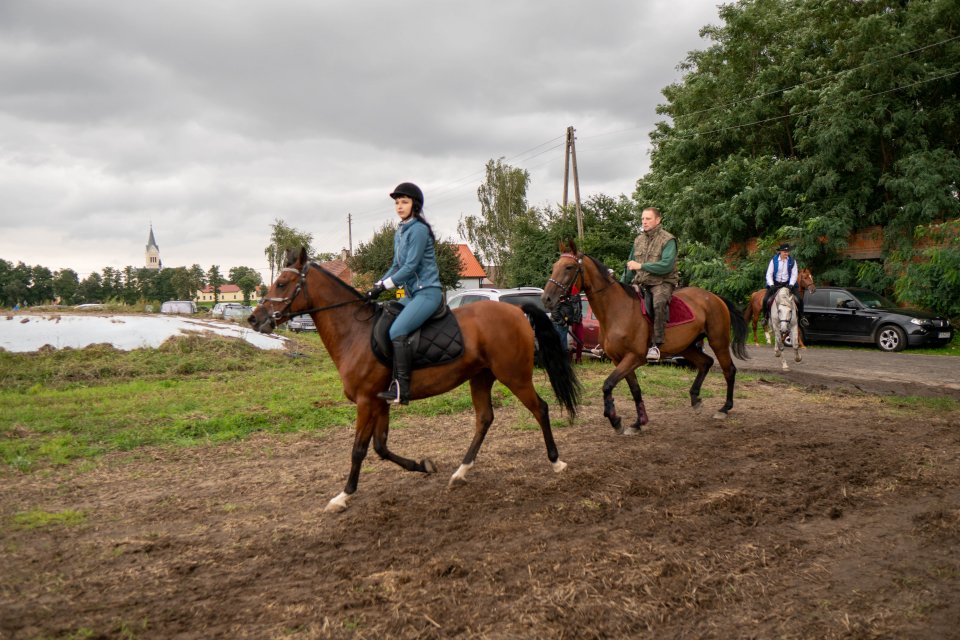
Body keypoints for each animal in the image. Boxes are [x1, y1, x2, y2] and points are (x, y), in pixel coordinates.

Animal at [248, 248, 576, 512]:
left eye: (282, 283)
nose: (254, 319)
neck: (355, 333)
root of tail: (515, 309)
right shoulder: (380, 403)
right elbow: (380, 447)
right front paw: (423, 466)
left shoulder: (366, 402)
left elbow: (359, 450)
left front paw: (343, 496)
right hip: (481, 377)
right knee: (484, 418)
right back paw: (461, 472)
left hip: (515, 375)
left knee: (540, 409)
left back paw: (556, 461)